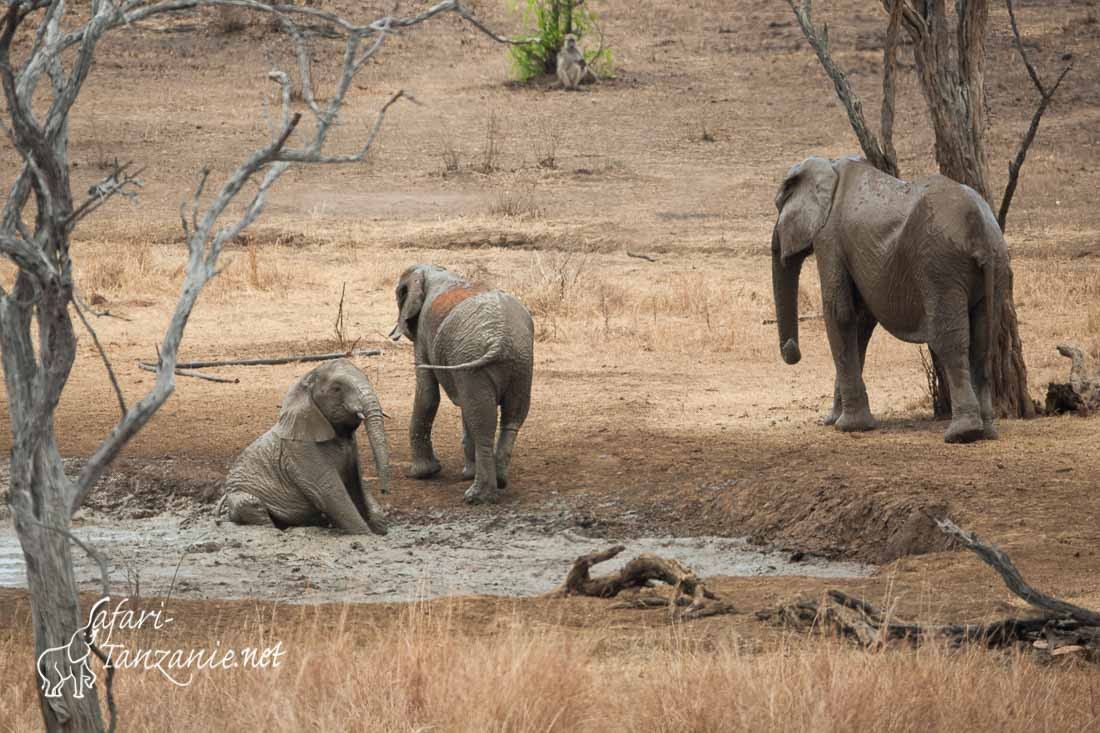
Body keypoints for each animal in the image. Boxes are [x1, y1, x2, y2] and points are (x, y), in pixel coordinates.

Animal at [218, 358, 391, 534]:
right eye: (337, 389)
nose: (384, 491)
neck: (304, 383)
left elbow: (356, 483)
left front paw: (379, 527)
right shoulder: (301, 449)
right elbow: (329, 492)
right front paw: (366, 534)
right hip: (239, 495)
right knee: (252, 504)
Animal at [391, 263, 536, 501]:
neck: (432, 270)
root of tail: (501, 338)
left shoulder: (423, 333)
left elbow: (427, 394)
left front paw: (421, 474)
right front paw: (467, 473)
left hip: (477, 359)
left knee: (483, 424)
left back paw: (477, 497)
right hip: (519, 362)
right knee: (510, 417)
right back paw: (500, 481)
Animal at [770, 155, 1007, 442]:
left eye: (779, 205)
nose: (792, 350)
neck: (831, 166)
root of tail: (980, 227)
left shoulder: (829, 237)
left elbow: (840, 314)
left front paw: (848, 426)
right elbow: (859, 322)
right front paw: (834, 420)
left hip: (939, 265)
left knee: (950, 341)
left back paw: (962, 433)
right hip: (996, 262)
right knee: (983, 340)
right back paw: (988, 431)